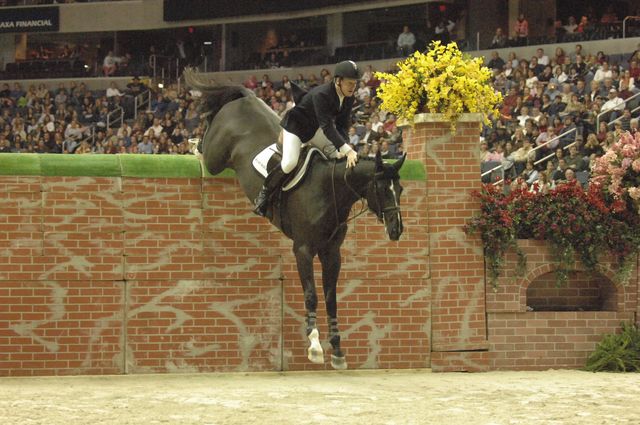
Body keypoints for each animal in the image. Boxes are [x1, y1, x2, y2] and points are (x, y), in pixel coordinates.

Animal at [185, 69, 404, 368]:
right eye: (382, 189)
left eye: (400, 190)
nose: (397, 230)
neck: (329, 191)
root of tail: (246, 97)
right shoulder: (303, 249)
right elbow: (311, 294)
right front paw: (314, 345)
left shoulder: (331, 252)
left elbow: (330, 297)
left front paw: (337, 350)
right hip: (217, 157)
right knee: (208, 146)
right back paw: (193, 145)